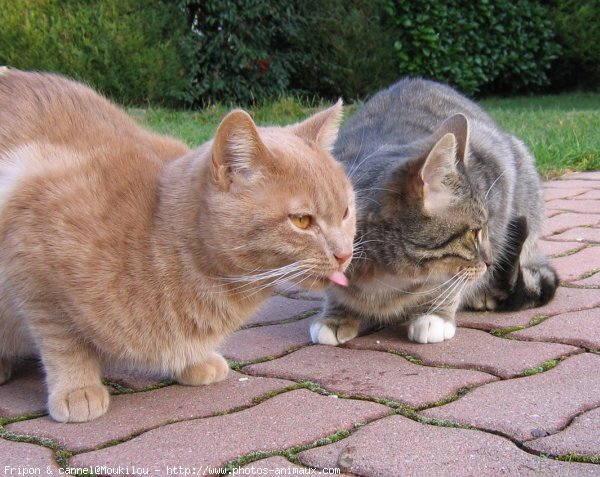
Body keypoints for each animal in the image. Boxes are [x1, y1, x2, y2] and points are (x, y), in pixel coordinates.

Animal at [0, 69, 356, 420]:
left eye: (345, 212)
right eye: (302, 221)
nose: (344, 254)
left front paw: (194, 361)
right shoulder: (32, 254)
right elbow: (63, 340)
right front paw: (78, 388)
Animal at [312, 79, 560, 346]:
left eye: (483, 228)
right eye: (474, 233)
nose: (491, 260)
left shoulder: (497, 185)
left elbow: (449, 282)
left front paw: (435, 314)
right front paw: (336, 316)